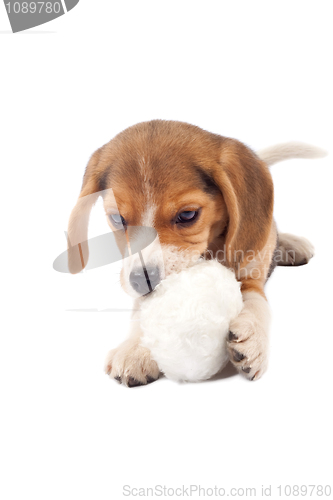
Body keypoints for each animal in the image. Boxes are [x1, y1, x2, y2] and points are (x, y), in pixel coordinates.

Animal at [68, 120, 324, 386]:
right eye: (117, 218)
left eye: (187, 215)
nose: (141, 280)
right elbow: (141, 310)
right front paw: (136, 348)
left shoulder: (251, 278)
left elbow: (257, 304)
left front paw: (253, 339)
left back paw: (290, 244)